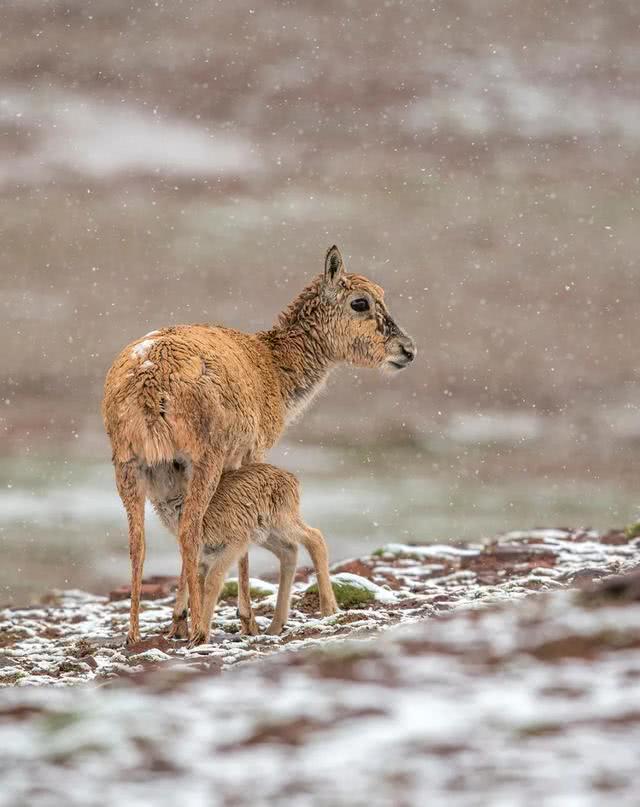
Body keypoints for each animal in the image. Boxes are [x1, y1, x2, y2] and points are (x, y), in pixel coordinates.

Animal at [151, 464, 340, 648]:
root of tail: (291, 477)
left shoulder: (234, 545)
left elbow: (213, 581)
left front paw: (200, 637)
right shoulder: (201, 558)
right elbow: (196, 586)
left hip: (282, 522)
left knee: (315, 538)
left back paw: (328, 609)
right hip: (265, 534)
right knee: (290, 551)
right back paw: (275, 626)